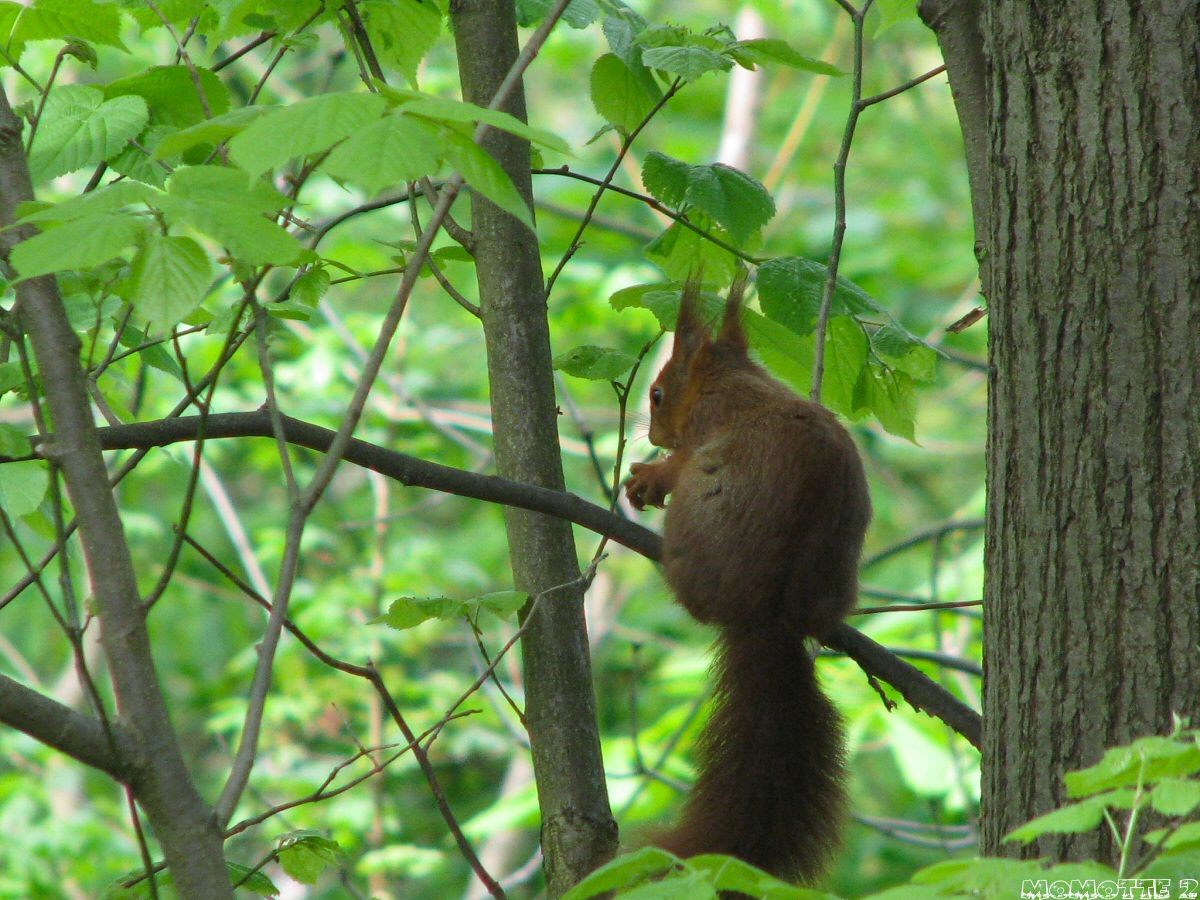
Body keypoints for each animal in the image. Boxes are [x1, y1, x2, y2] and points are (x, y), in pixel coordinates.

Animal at [624, 274, 868, 888]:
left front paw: (649, 475)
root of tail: (770, 614)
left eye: (658, 394)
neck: (732, 382)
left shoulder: (701, 430)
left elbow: (678, 464)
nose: (653, 431)